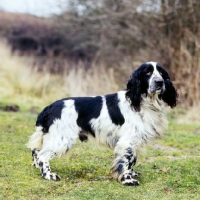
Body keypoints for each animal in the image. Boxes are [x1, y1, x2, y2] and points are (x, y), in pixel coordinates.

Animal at [26, 61, 178, 186]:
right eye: (147, 73)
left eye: (161, 73)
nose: (159, 82)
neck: (142, 101)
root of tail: (49, 108)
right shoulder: (127, 141)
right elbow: (126, 161)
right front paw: (127, 179)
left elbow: (131, 161)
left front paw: (131, 174)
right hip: (62, 139)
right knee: (42, 155)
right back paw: (49, 175)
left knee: (37, 152)